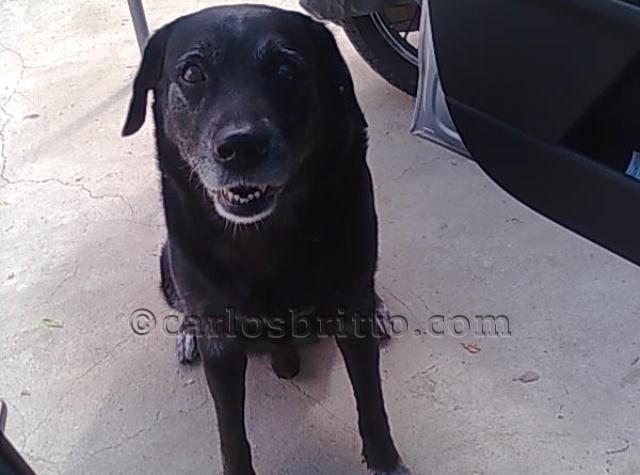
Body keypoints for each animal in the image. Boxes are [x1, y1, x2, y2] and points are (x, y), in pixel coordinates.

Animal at [123, 5, 409, 474]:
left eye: (285, 69)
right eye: (192, 72)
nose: (241, 148)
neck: (265, 240)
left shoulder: (353, 319)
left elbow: (371, 401)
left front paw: (385, 460)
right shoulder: (222, 347)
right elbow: (230, 432)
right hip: (166, 262)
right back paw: (188, 331)